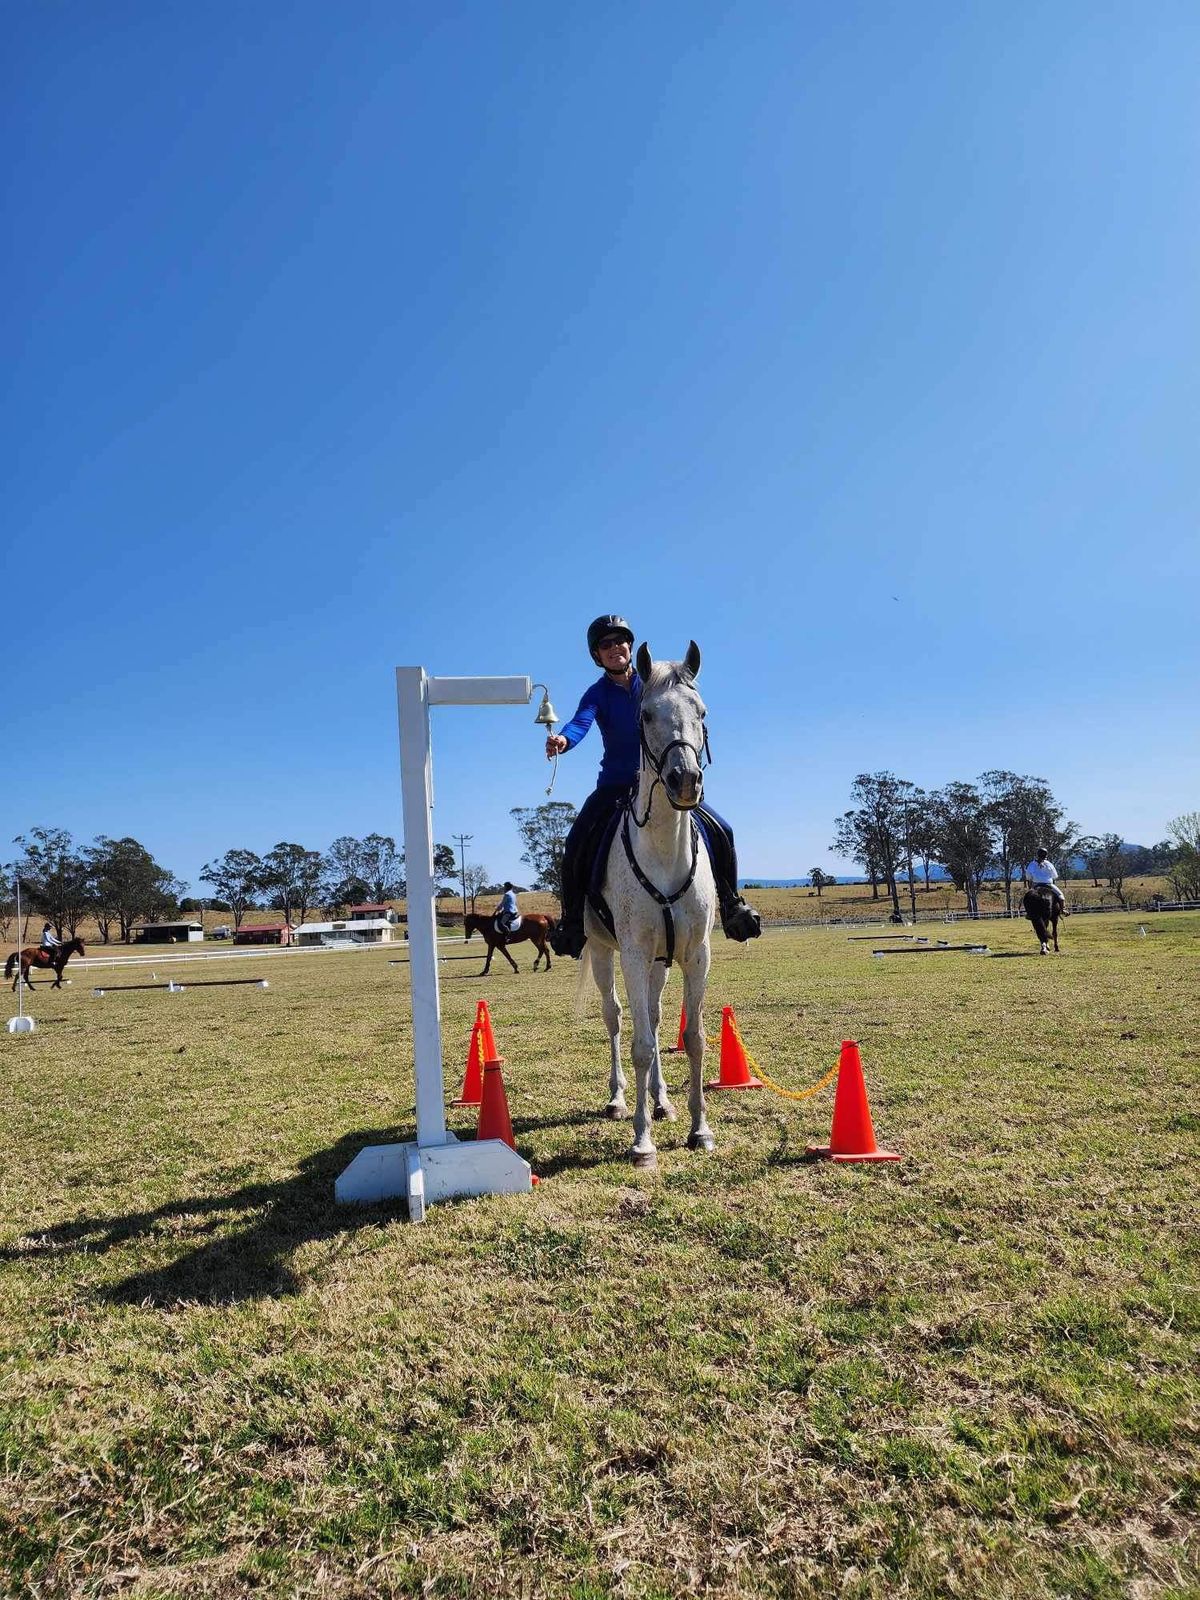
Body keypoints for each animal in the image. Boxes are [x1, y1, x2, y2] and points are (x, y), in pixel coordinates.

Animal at [579, 640, 720, 1177]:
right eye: (646, 713)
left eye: (701, 712)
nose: (684, 781)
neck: (663, 851)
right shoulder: (635, 956)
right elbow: (639, 1045)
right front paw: (642, 1143)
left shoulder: (696, 955)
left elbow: (693, 1038)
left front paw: (700, 1129)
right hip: (604, 953)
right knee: (618, 1018)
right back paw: (621, 1100)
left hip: (663, 960)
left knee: (656, 1019)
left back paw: (661, 1101)